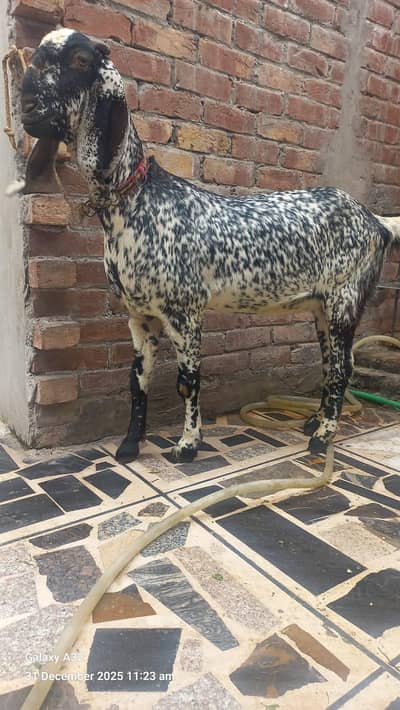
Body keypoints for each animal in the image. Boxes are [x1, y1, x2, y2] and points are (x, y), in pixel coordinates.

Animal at [20, 28, 400, 463]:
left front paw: (187, 445)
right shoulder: (139, 315)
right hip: (322, 306)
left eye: (81, 60)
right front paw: (130, 445)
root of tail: (376, 222)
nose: (26, 105)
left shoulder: (185, 311)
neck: (138, 200)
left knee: (340, 369)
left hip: (344, 300)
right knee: (334, 364)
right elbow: (137, 381)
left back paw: (321, 439)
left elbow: (188, 380)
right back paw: (313, 422)